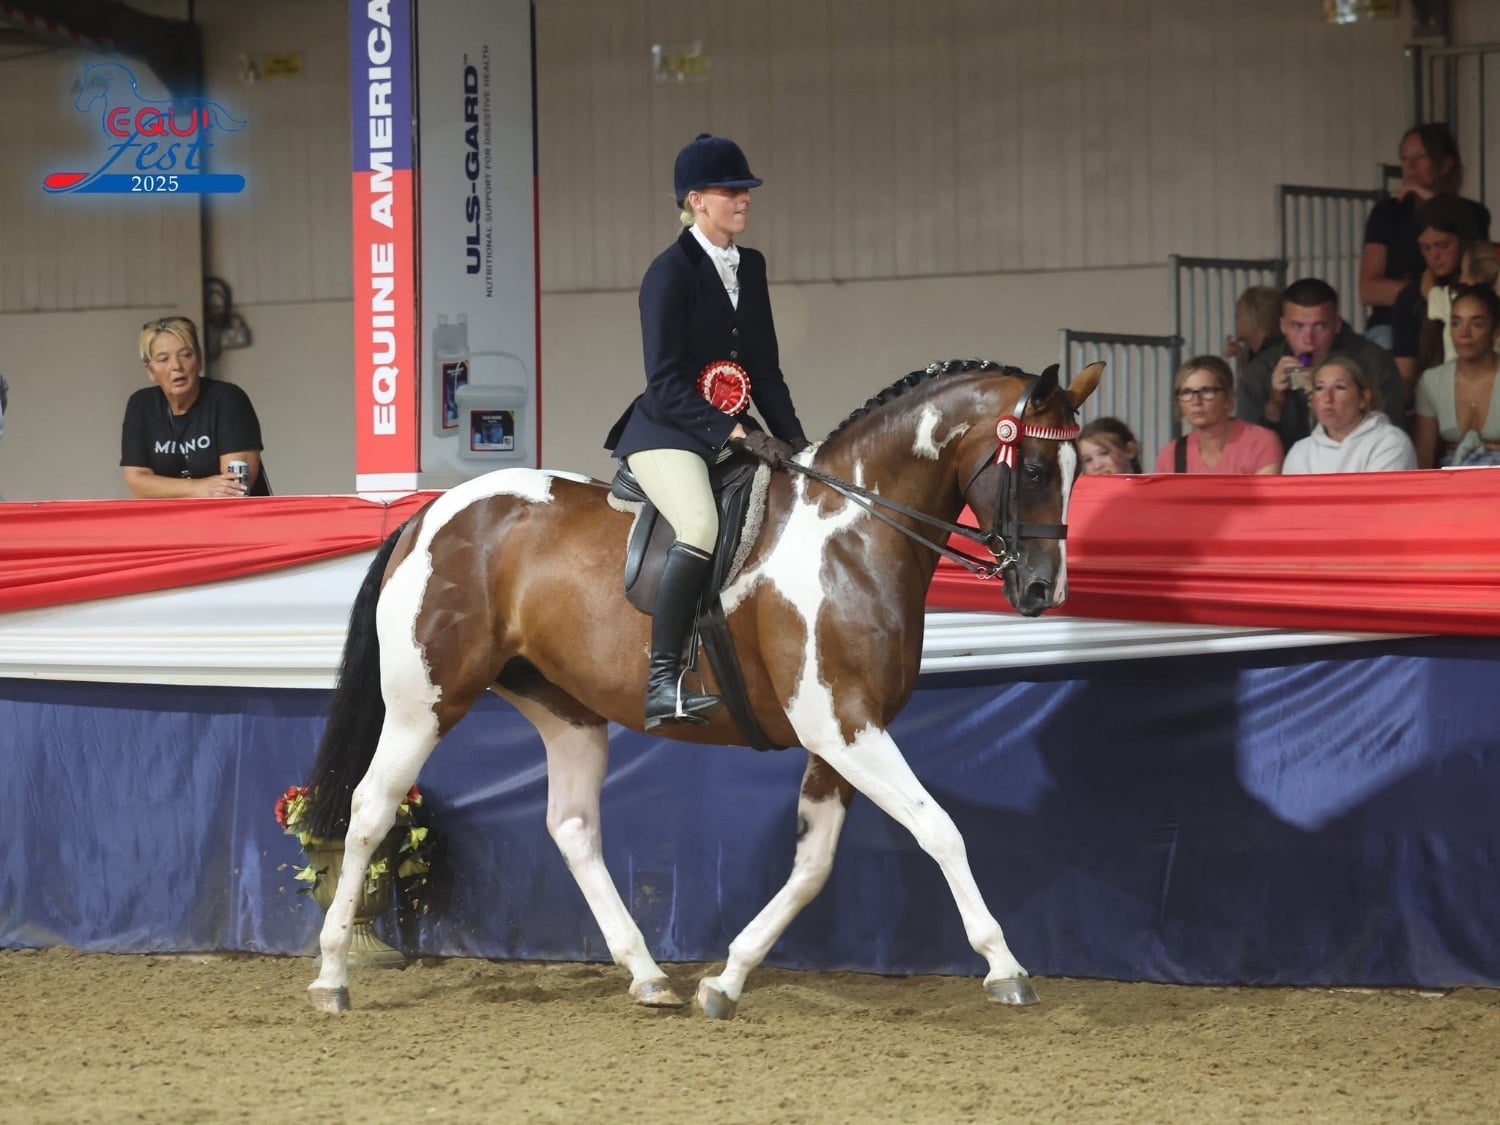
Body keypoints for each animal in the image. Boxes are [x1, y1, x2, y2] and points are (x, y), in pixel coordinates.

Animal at [303, 357, 1104, 1018]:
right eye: (1035, 467)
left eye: (1077, 470)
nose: (1042, 591)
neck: (853, 531)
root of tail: (430, 513)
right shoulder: (845, 725)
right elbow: (939, 829)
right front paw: (1005, 965)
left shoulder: (839, 734)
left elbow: (813, 866)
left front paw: (726, 978)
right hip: (424, 703)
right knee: (371, 809)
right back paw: (333, 975)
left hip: (565, 710)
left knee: (572, 827)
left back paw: (648, 974)